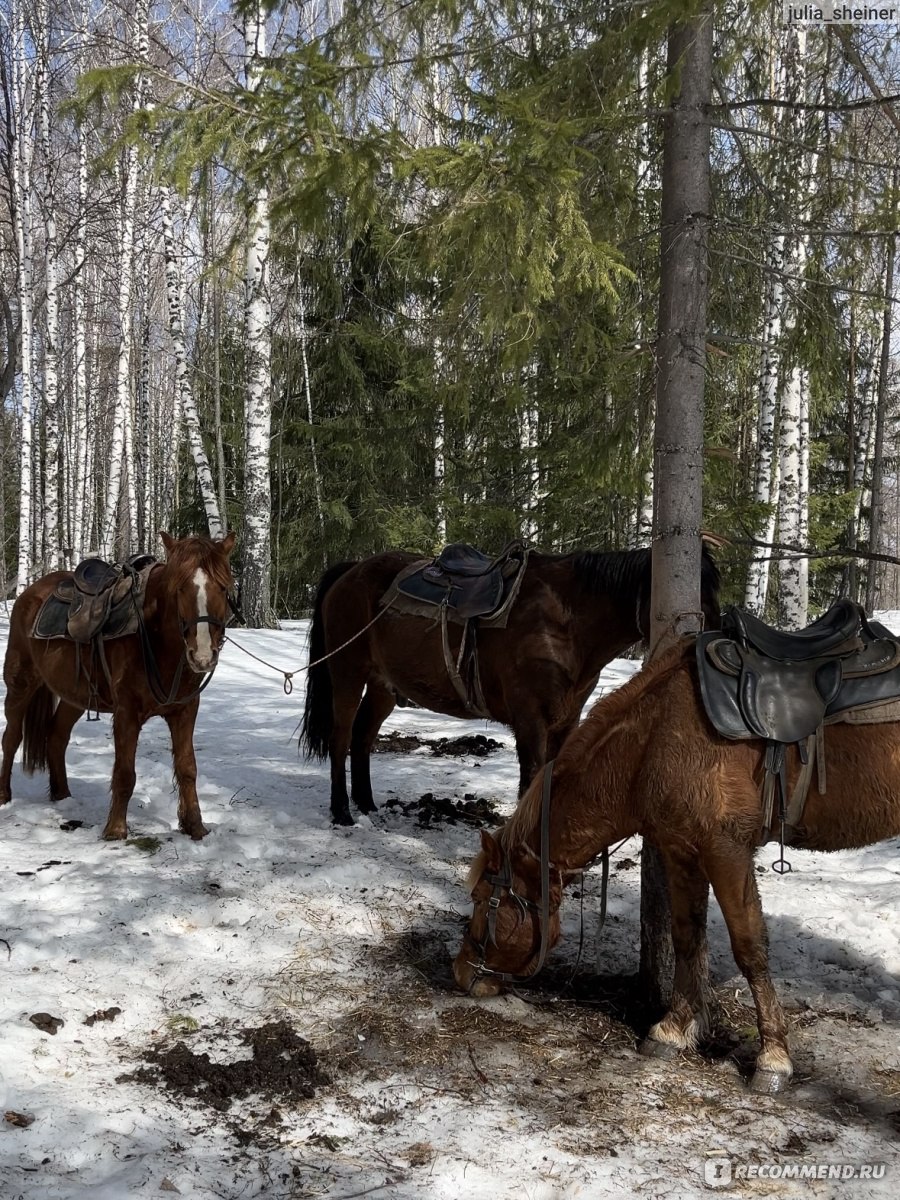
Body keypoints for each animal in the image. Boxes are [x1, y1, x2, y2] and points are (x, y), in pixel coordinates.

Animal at [0, 535, 237, 844]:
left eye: (222, 587)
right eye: (180, 588)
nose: (203, 655)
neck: (156, 638)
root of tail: (28, 594)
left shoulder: (185, 710)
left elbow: (188, 768)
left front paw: (195, 827)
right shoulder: (126, 711)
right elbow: (125, 773)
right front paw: (115, 830)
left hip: (74, 696)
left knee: (56, 737)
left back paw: (62, 796)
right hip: (20, 683)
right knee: (11, 738)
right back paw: (4, 797)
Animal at [303, 547, 724, 825]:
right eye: (700, 594)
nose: (715, 643)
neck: (564, 621)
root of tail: (351, 572)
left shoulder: (566, 719)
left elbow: (550, 776)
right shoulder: (530, 717)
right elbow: (532, 775)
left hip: (382, 687)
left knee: (362, 738)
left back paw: (366, 804)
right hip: (347, 674)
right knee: (342, 737)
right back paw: (342, 812)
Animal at [453, 638, 900, 1099]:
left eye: (482, 899)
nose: (461, 973)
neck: (653, 739)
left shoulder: (726, 851)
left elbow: (750, 948)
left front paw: (773, 1059)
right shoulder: (681, 850)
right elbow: (687, 938)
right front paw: (673, 1030)